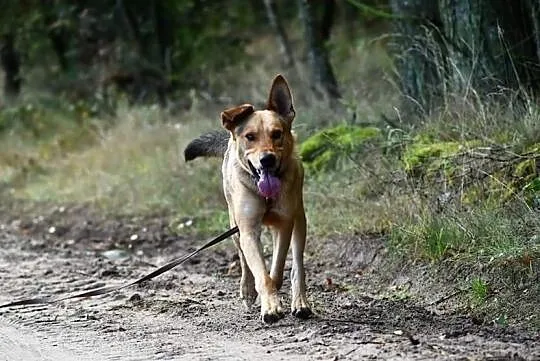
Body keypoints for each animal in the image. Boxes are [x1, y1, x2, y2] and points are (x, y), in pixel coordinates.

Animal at [185, 74, 312, 322]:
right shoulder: (248, 229)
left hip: (300, 221)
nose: (267, 160)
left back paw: (299, 301)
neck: (265, 196)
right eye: (250, 137)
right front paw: (269, 304)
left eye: (277, 133)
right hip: (234, 225)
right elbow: (260, 272)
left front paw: (274, 296)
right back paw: (248, 289)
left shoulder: (284, 224)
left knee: (297, 266)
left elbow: (277, 268)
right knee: (243, 259)